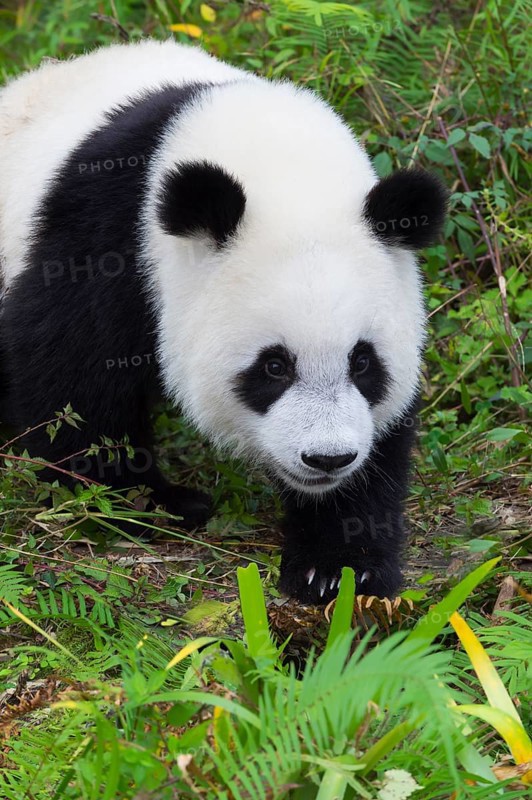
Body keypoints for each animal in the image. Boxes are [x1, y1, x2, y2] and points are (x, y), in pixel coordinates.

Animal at [0, 40, 447, 604]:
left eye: (363, 363)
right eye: (274, 367)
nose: (327, 459)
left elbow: (383, 439)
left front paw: (340, 566)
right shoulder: (109, 233)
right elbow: (71, 370)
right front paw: (141, 502)